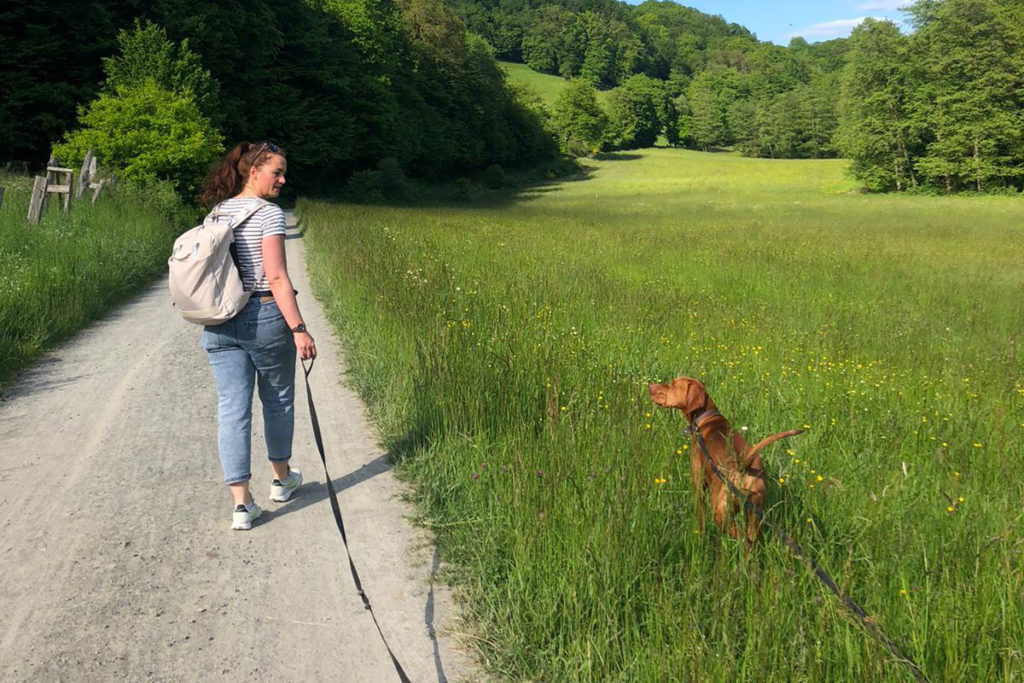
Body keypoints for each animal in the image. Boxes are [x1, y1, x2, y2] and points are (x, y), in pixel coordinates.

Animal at [651, 376, 802, 548]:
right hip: (754, 513)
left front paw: (700, 539)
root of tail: (744, 466)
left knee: (745, 541)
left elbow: (701, 519)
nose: (650, 386)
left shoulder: (699, 485)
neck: (707, 418)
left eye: (674, 384)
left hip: (721, 514)